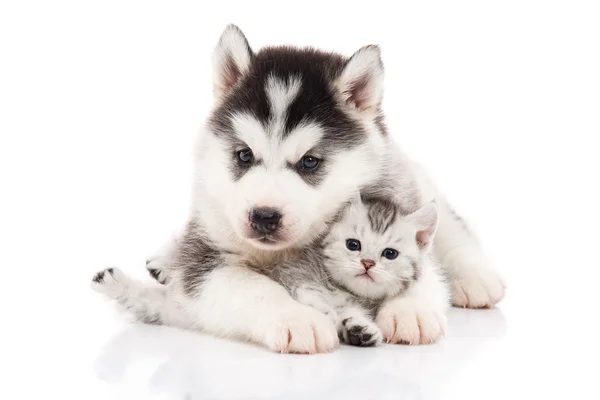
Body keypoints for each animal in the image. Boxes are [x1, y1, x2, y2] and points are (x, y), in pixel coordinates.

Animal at [91, 25, 504, 354]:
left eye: (309, 162)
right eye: (244, 155)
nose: (264, 217)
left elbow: (421, 269)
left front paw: (409, 309)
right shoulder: (205, 258)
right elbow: (251, 286)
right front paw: (295, 318)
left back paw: (476, 277)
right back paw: (163, 260)